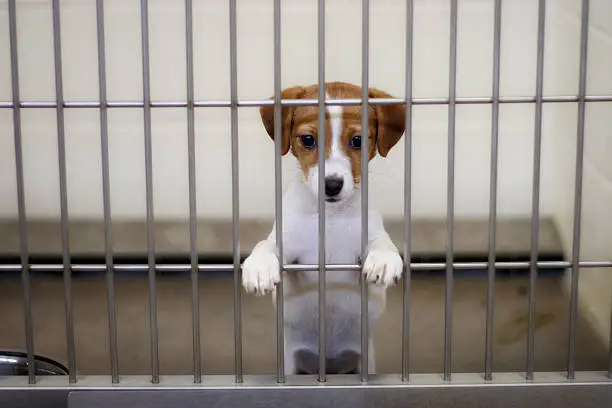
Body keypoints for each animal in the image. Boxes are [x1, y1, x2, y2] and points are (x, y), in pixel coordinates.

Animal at [240, 80, 406, 376]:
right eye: (308, 140)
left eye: (358, 141)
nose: (332, 185)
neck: (330, 217)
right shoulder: (290, 246)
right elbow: (267, 244)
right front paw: (259, 267)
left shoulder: (366, 235)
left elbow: (381, 241)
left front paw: (385, 260)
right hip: (290, 365)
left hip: (365, 362)